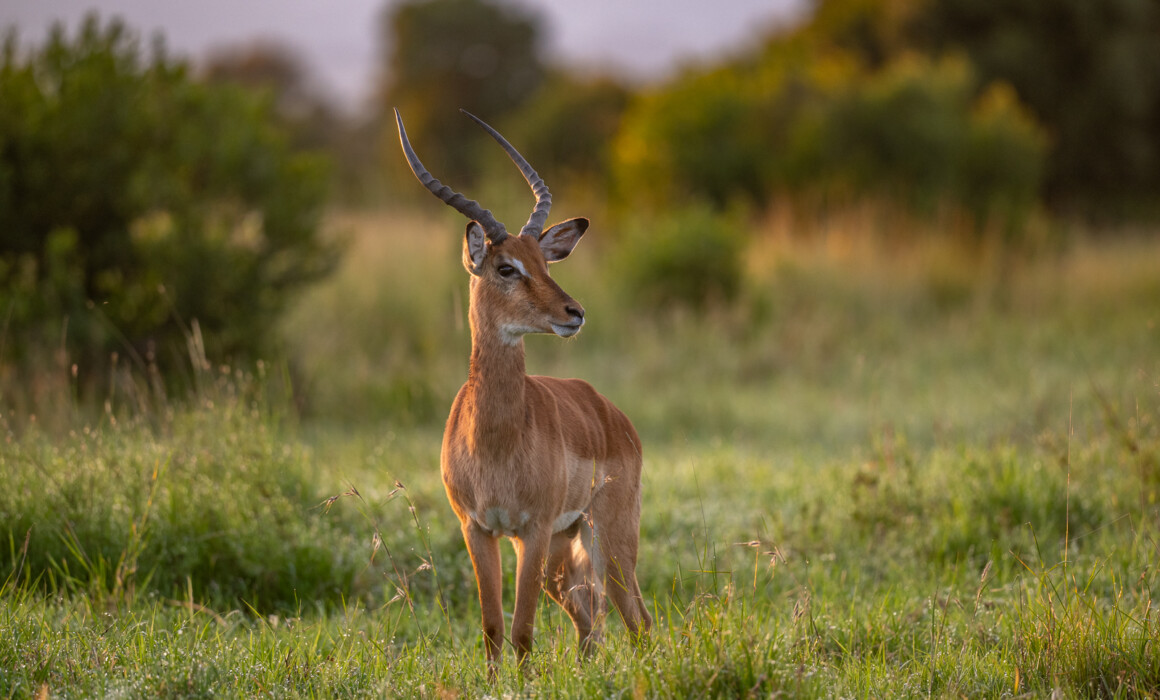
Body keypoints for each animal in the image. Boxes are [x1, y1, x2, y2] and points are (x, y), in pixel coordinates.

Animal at [395, 109, 651, 670]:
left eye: (545, 262)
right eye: (506, 267)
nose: (574, 313)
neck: (495, 440)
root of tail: (612, 414)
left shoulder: (531, 530)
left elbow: (522, 630)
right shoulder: (479, 529)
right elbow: (493, 627)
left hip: (607, 537)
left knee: (637, 618)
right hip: (563, 548)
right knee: (588, 618)